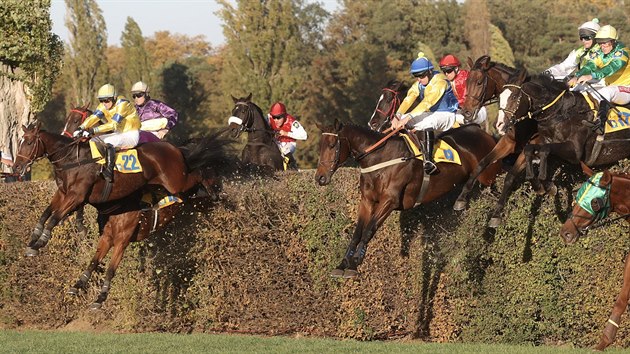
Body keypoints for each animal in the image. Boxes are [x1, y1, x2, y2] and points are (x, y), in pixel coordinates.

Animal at [12, 121, 225, 254]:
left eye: (29, 142)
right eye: (19, 141)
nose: (16, 167)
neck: (73, 159)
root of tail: (174, 149)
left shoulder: (77, 196)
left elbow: (55, 217)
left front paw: (40, 241)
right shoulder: (63, 193)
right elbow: (46, 213)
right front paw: (33, 239)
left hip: (175, 182)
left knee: (199, 173)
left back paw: (213, 191)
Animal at [314, 120, 502, 278]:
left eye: (332, 145)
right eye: (320, 147)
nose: (320, 178)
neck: (379, 158)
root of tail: (483, 132)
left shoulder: (389, 201)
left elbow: (369, 230)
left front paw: (354, 263)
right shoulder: (367, 201)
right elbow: (357, 232)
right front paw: (343, 264)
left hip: (488, 175)